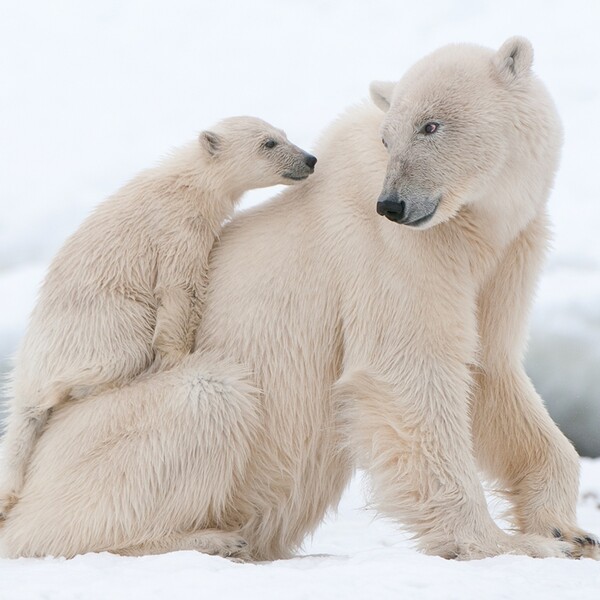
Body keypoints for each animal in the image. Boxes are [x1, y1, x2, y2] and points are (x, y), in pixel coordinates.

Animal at [0, 116, 318, 516]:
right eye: (269, 143)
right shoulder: (177, 231)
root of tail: (27, 370)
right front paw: (179, 356)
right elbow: (180, 289)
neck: (187, 184)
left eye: (284, 135)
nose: (310, 159)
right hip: (102, 325)